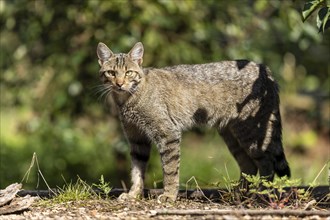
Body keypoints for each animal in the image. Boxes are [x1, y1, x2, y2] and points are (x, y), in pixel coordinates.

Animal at [96, 42, 292, 202]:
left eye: (129, 72)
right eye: (111, 72)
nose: (119, 83)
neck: (128, 100)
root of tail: (263, 68)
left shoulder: (168, 134)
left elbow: (170, 170)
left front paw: (169, 195)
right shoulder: (137, 139)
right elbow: (137, 171)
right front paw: (133, 194)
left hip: (251, 131)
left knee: (266, 163)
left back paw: (261, 193)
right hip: (231, 135)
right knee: (249, 165)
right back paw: (239, 193)